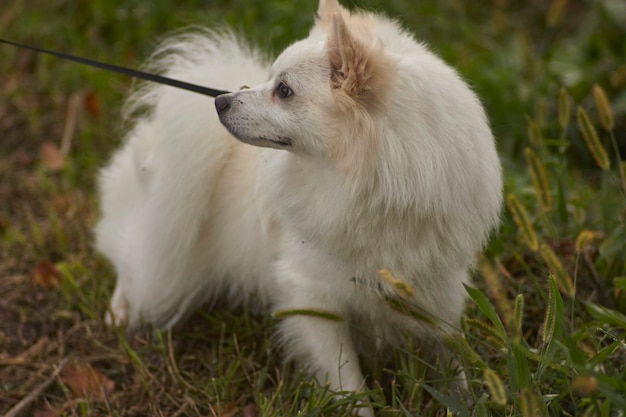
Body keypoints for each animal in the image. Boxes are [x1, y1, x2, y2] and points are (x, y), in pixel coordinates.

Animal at [95, 0, 500, 412]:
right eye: (271, 80)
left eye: (284, 90)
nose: (219, 100)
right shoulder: (313, 296)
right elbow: (349, 384)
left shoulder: (436, 292)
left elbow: (453, 361)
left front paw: (469, 401)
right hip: (164, 261)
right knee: (127, 255)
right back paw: (119, 313)